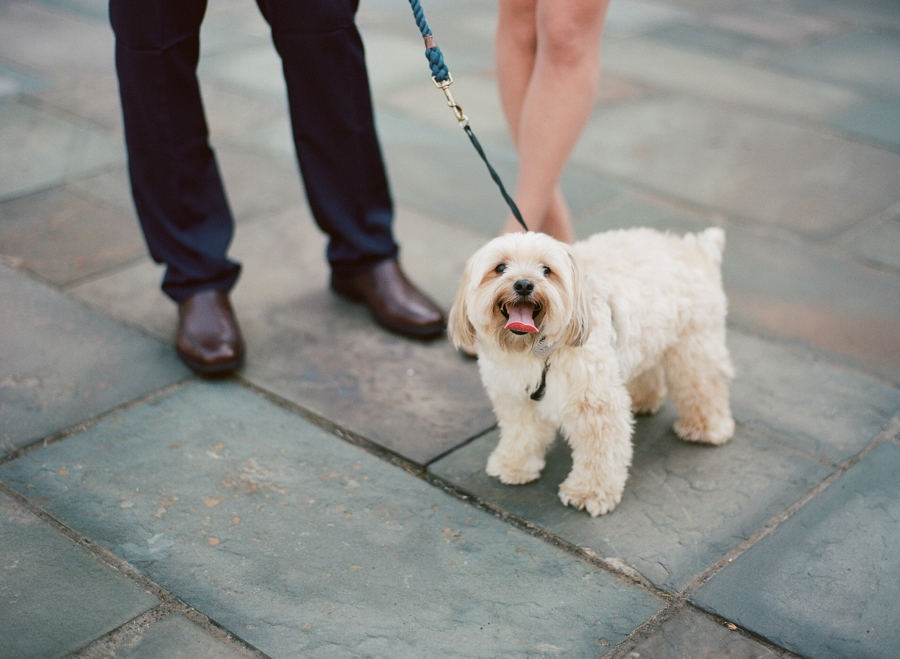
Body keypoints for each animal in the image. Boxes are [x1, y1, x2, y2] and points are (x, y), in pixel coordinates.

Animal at [446, 229, 736, 520]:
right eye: (500, 268)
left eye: (546, 270)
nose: (524, 285)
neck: (534, 349)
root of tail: (695, 246)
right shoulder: (515, 398)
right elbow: (521, 434)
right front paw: (514, 464)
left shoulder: (596, 406)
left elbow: (599, 454)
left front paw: (589, 492)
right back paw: (643, 400)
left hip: (694, 347)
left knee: (704, 384)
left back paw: (707, 428)